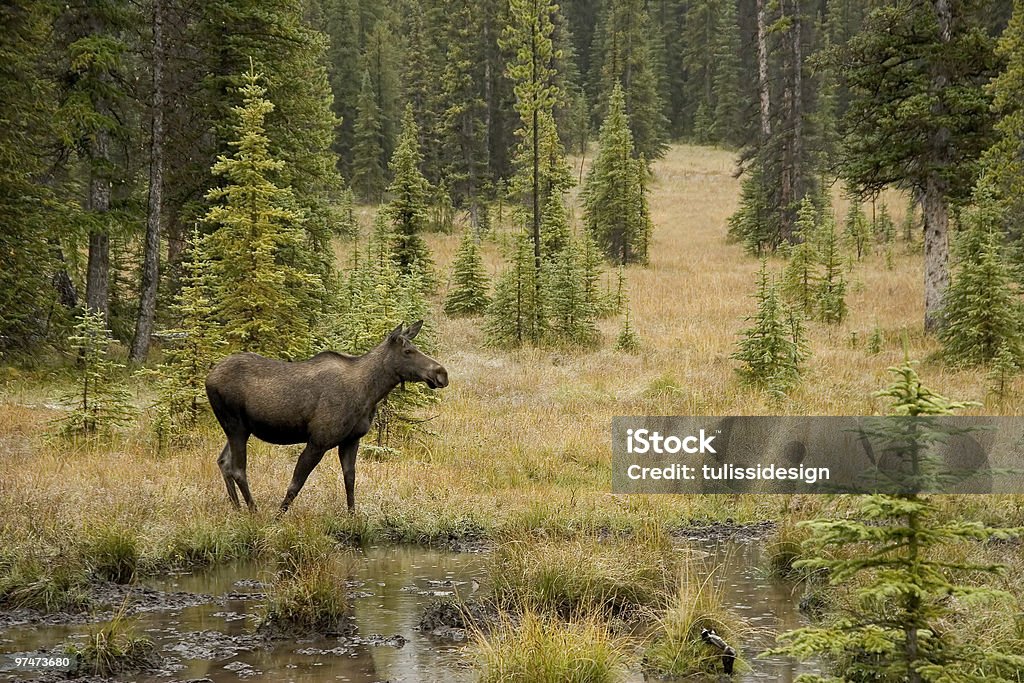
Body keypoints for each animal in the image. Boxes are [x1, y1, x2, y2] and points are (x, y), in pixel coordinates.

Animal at [204, 323, 448, 516]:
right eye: (408, 351)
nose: (441, 373)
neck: (370, 393)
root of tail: (208, 378)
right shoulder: (318, 441)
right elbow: (295, 484)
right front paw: (277, 519)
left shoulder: (351, 440)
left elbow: (350, 480)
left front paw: (352, 517)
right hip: (235, 425)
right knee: (238, 469)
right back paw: (254, 512)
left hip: (239, 428)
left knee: (223, 462)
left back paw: (237, 510)